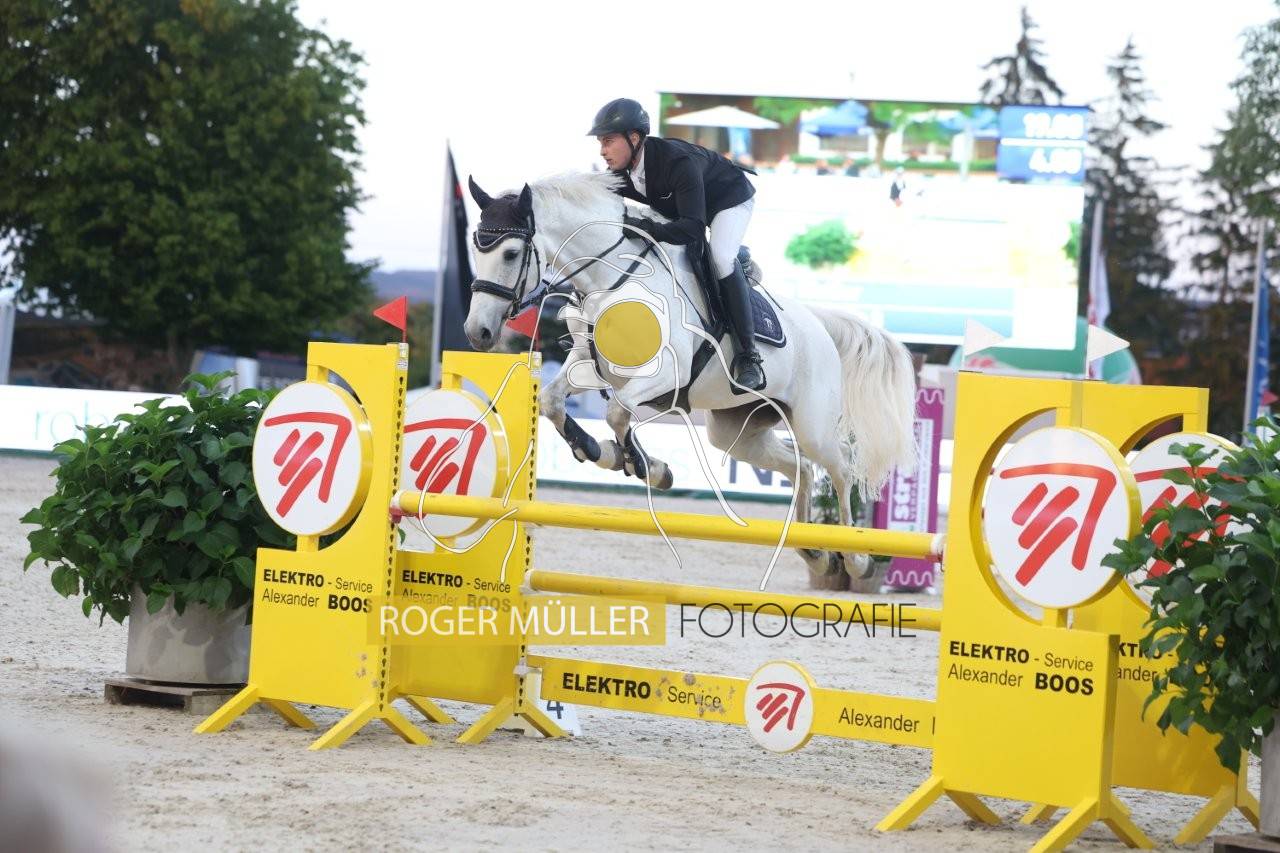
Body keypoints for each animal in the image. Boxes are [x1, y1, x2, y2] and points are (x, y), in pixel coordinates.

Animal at [462, 170, 917, 587]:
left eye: (511, 253)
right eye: (476, 248)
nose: (477, 333)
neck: (612, 280)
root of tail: (818, 322)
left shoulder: (665, 371)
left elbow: (616, 412)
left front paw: (644, 466)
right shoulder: (586, 364)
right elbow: (556, 403)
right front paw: (602, 452)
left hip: (813, 425)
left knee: (840, 467)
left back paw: (856, 558)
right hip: (738, 430)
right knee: (799, 466)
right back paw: (815, 554)